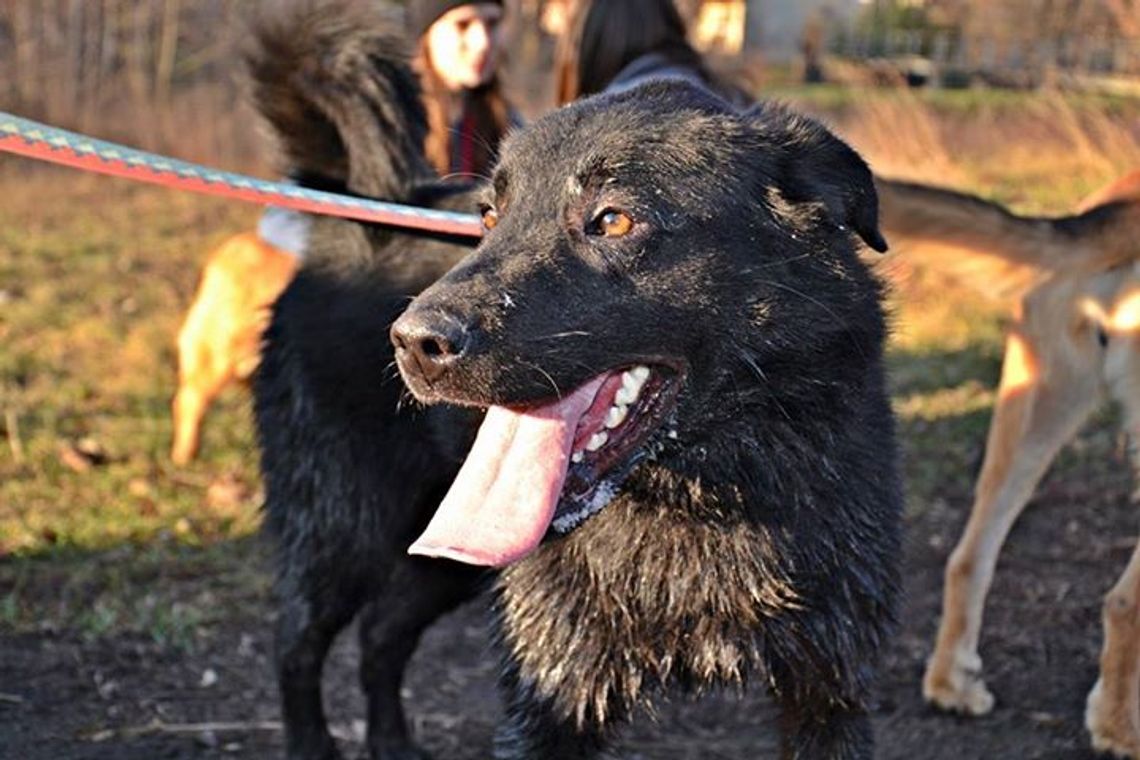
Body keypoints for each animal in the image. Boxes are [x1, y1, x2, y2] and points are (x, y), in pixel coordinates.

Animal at [249, 2, 898, 756]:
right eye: (489, 216)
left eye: (612, 219)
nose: (415, 342)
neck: (702, 503)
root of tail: (350, 213)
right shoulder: (550, 695)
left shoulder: (831, 692)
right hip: (340, 524)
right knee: (296, 644)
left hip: (443, 553)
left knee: (382, 632)